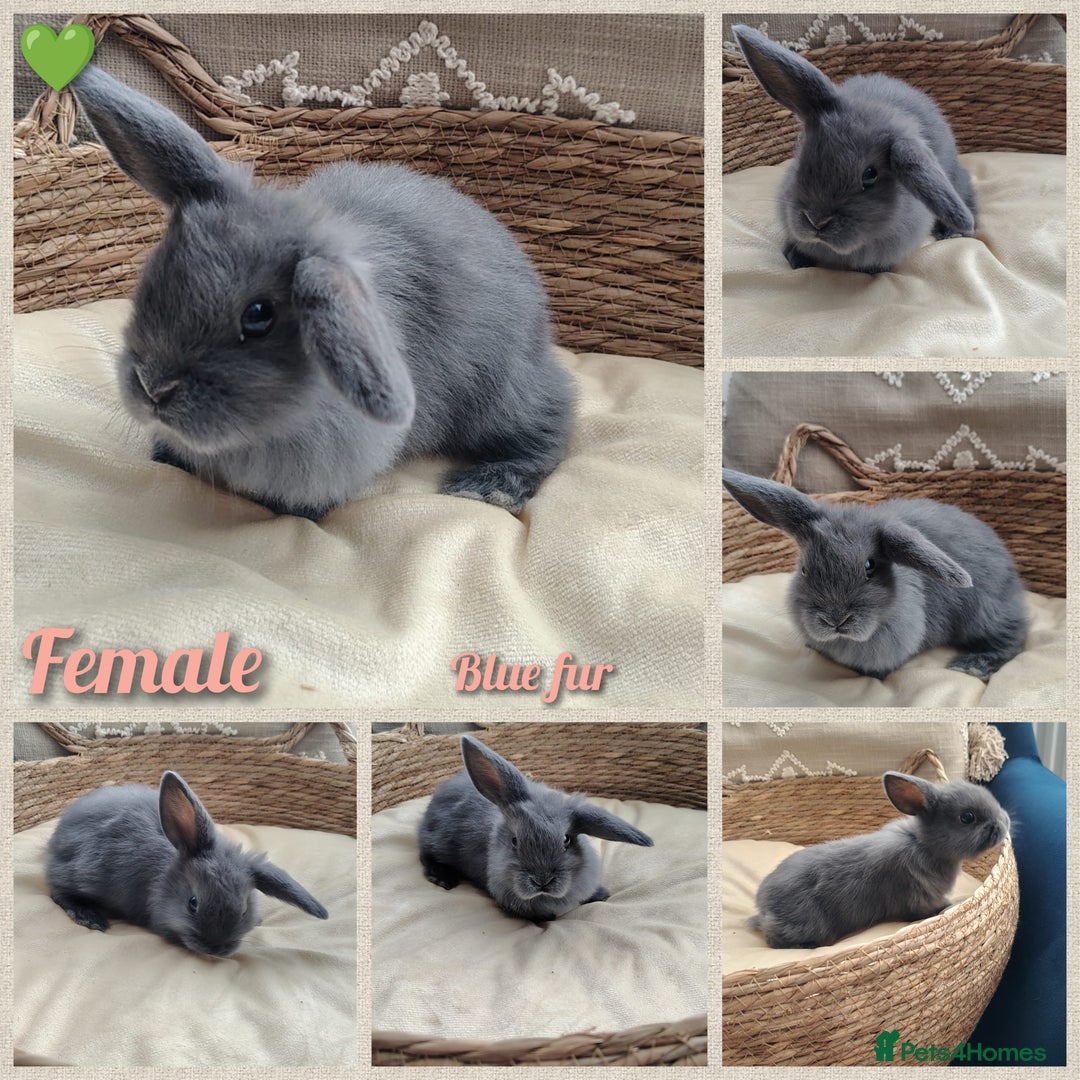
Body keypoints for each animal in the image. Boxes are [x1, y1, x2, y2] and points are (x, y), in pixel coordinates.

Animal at [46, 770, 328, 956]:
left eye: (245, 910)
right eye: (193, 903)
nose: (216, 949)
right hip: (79, 873)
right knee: (57, 890)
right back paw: (90, 917)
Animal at [69, 65, 574, 520]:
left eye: (258, 316)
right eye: (154, 275)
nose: (152, 388)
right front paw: (167, 455)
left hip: (503, 393)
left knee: (554, 423)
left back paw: (488, 488)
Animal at [418, 735, 653, 921]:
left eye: (567, 840)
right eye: (515, 841)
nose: (542, 881)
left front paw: (602, 894)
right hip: (438, 842)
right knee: (425, 854)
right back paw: (443, 878)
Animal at [722, 468, 1028, 680]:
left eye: (870, 566)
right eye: (805, 569)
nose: (834, 620)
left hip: (985, 617)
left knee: (1015, 640)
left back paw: (971, 666)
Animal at [749, 771, 1010, 948]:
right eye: (967, 817)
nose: (1004, 822)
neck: (924, 844)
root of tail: (763, 905)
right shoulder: (919, 896)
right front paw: (945, 906)